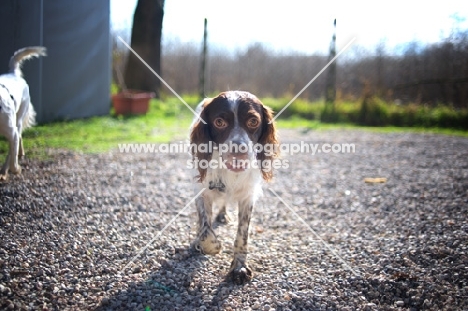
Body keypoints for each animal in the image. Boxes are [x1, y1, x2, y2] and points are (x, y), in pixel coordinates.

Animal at [0, 47, 46, 182]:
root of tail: (13, 73)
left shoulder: (11, 132)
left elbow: (12, 158)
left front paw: (15, 169)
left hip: (19, 117)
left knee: (16, 139)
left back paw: (4, 170)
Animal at [189, 91, 278, 286]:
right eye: (219, 122)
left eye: (253, 121)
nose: (239, 149)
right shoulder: (202, 192)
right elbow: (206, 230)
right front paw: (210, 246)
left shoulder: (247, 197)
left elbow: (242, 235)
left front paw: (239, 268)